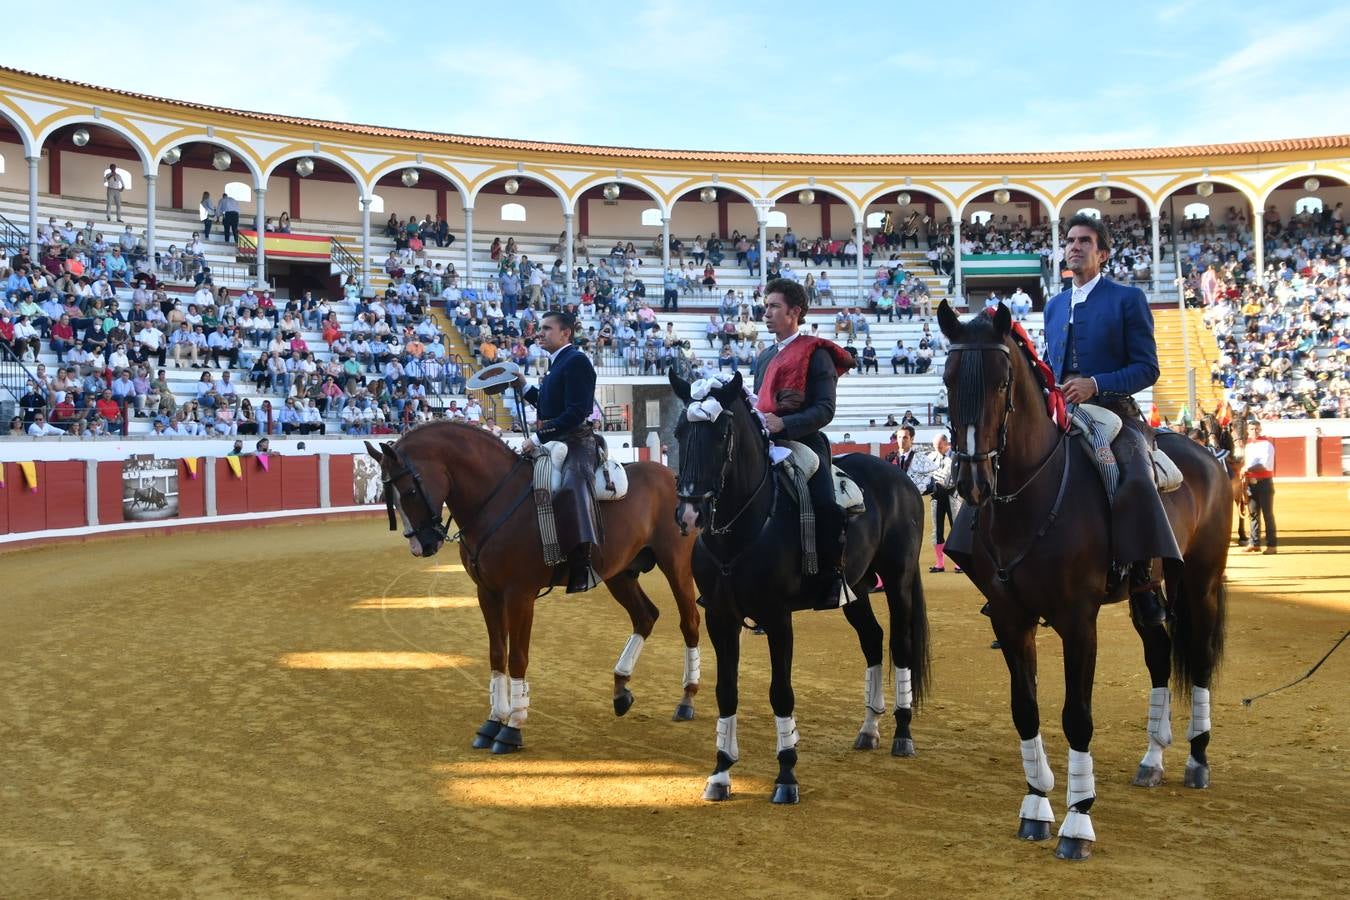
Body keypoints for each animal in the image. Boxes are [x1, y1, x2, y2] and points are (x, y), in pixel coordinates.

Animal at [369, 423, 707, 755]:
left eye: (411, 490)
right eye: (390, 495)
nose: (422, 545)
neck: (495, 499)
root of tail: (669, 476)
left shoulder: (519, 595)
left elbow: (517, 657)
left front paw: (512, 729)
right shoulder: (487, 594)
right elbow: (497, 654)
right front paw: (492, 722)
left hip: (676, 564)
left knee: (689, 621)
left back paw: (687, 698)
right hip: (619, 574)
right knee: (645, 616)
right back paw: (621, 689)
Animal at [666, 369, 928, 804]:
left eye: (722, 434)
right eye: (679, 431)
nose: (689, 513)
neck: (741, 529)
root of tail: (900, 478)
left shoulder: (777, 618)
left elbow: (780, 692)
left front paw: (786, 776)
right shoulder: (721, 618)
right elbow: (726, 691)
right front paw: (720, 772)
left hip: (899, 580)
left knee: (900, 645)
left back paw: (903, 734)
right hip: (855, 588)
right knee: (872, 639)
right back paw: (869, 728)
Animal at [934, 306, 1231, 863]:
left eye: (1002, 382)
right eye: (947, 378)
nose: (972, 483)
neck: (1030, 497)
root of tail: (1208, 456)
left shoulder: (1077, 622)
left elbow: (1077, 716)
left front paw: (1077, 821)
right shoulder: (1010, 619)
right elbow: (1025, 710)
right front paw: (1035, 806)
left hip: (1199, 583)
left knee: (1199, 658)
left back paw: (1197, 760)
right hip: (1146, 595)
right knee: (1160, 655)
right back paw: (1152, 759)